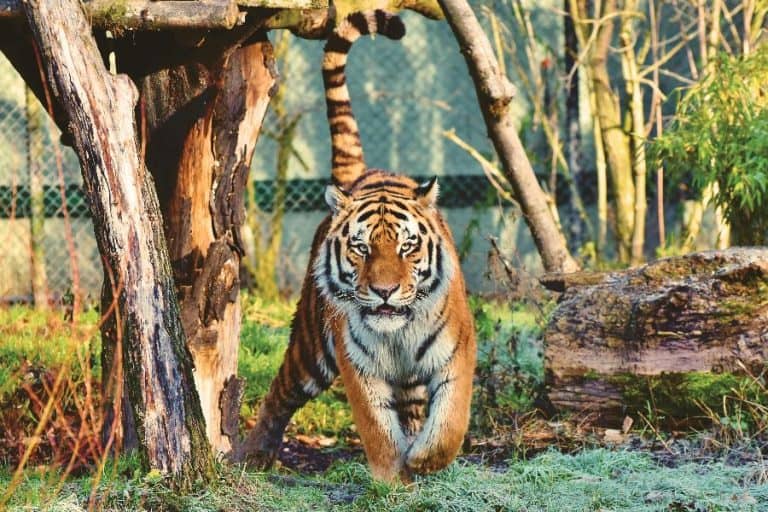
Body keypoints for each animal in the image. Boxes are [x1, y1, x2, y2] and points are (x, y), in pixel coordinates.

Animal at [239, 10, 477, 482]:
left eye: (407, 248)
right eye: (362, 249)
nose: (384, 291)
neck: (399, 334)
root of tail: (362, 174)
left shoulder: (457, 352)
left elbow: (450, 422)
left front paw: (424, 459)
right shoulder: (358, 365)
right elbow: (377, 429)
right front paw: (391, 477)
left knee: (415, 409)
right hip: (310, 348)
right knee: (279, 393)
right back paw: (254, 454)